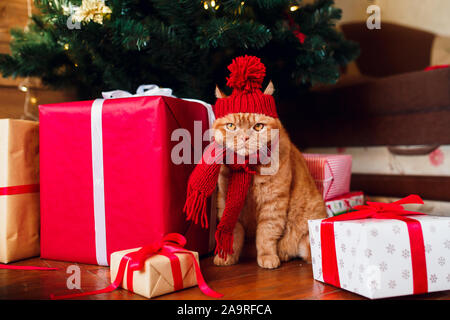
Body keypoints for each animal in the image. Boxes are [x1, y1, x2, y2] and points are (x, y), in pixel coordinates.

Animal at [213, 84, 326, 268]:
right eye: (231, 126)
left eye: (258, 127)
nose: (244, 138)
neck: (250, 170)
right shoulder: (227, 203)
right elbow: (233, 234)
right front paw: (226, 257)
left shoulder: (273, 204)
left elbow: (266, 233)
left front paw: (267, 256)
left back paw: (284, 254)